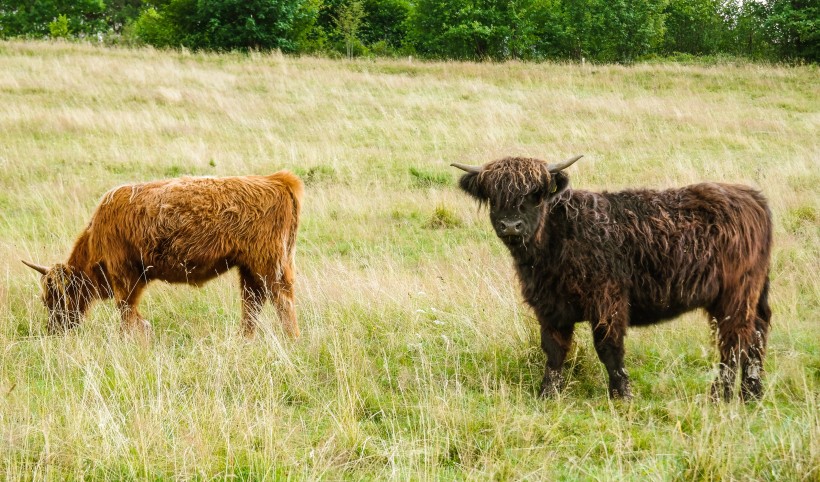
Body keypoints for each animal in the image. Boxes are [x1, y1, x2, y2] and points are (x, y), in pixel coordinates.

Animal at [24, 171, 302, 338]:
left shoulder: (124, 275)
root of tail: (277, 180)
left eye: (53, 298)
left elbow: (126, 311)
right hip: (249, 269)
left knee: (282, 302)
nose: (53, 329)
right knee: (252, 304)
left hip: (270, 267)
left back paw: (291, 340)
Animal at [452, 156, 772, 402]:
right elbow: (554, 350)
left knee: (734, 341)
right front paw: (547, 394)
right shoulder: (549, 307)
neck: (557, 238)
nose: (511, 225)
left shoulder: (608, 301)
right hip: (753, 293)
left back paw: (721, 396)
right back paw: (752, 394)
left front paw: (622, 395)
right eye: (494, 196)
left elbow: (609, 349)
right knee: (756, 334)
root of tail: (751, 196)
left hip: (735, 295)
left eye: (536, 194)